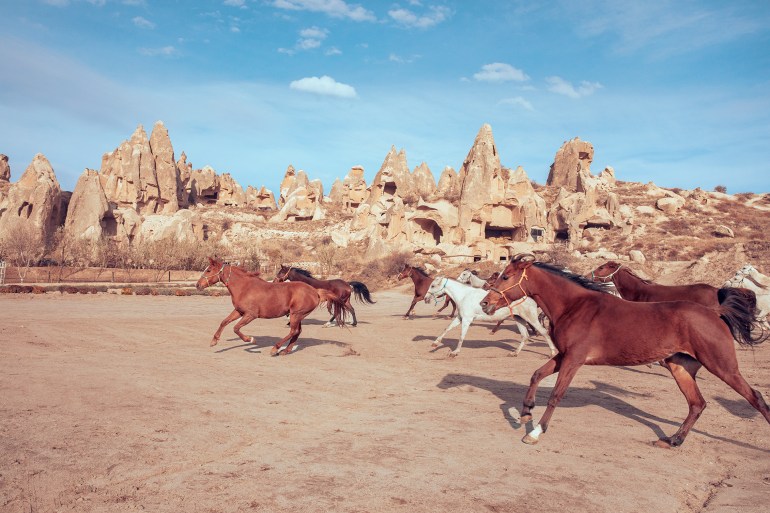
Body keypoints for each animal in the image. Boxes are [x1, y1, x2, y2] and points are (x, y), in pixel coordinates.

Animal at [198, 258, 354, 354]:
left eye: (208, 270)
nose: (198, 285)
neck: (244, 287)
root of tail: (315, 291)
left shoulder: (250, 315)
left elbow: (236, 328)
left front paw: (251, 339)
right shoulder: (239, 311)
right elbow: (224, 322)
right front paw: (214, 341)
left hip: (296, 314)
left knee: (293, 331)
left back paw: (276, 348)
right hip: (298, 315)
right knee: (297, 332)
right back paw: (285, 350)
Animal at [476, 254, 764, 446]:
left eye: (505, 276)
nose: (485, 303)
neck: (574, 306)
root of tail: (715, 311)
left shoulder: (574, 360)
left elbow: (556, 395)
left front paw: (536, 432)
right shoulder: (563, 356)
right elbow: (536, 375)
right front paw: (525, 413)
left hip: (723, 366)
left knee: (756, 397)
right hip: (680, 367)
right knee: (697, 404)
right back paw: (673, 440)